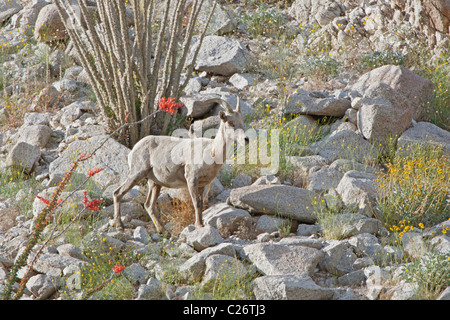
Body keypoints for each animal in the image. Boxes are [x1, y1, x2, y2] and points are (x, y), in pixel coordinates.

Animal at [112, 97, 246, 232]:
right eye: (231, 123)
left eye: (242, 122)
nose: (246, 139)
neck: (211, 152)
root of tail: (133, 150)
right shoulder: (191, 179)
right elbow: (196, 203)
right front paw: (199, 225)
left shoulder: (201, 185)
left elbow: (201, 203)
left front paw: (201, 224)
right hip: (136, 174)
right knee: (118, 193)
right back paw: (119, 226)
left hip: (155, 183)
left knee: (148, 205)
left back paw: (162, 231)